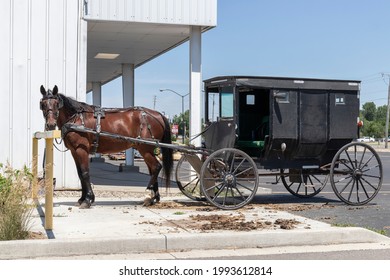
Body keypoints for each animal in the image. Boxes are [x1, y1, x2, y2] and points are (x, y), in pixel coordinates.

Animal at [39, 85, 172, 208]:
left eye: (57, 103)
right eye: (42, 104)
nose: (50, 124)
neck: (76, 119)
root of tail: (158, 115)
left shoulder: (81, 150)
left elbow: (85, 173)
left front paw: (88, 199)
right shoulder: (74, 151)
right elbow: (80, 174)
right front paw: (82, 198)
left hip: (145, 149)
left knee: (156, 167)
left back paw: (150, 191)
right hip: (147, 150)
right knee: (153, 169)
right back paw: (153, 198)